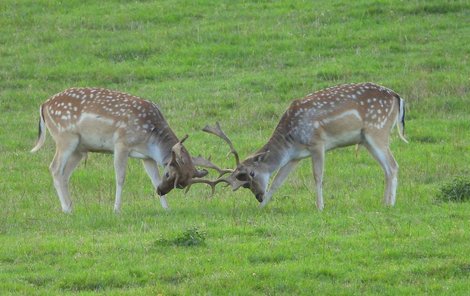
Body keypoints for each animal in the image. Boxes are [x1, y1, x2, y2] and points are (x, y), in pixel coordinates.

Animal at [31, 87, 222, 213]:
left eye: (182, 184)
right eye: (169, 174)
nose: (161, 191)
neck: (149, 136)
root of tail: (44, 105)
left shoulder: (147, 157)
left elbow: (153, 178)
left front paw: (166, 208)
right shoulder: (121, 144)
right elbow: (121, 177)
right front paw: (116, 210)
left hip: (80, 148)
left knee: (64, 174)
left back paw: (71, 207)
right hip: (65, 137)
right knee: (55, 168)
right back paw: (66, 209)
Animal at [205, 81, 408, 210]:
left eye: (251, 174)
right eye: (244, 184)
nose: (258, 197)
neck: (291, 139)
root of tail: (397, 97)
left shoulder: (317, 143)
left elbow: (317, 176)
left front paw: (320, 206)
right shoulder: (294, 157)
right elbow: (277, 181)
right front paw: (262, 207)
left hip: (377, 130)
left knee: (393, 165)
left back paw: (390, 204)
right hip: (366, 139)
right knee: (387, 168)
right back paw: (384, 203)